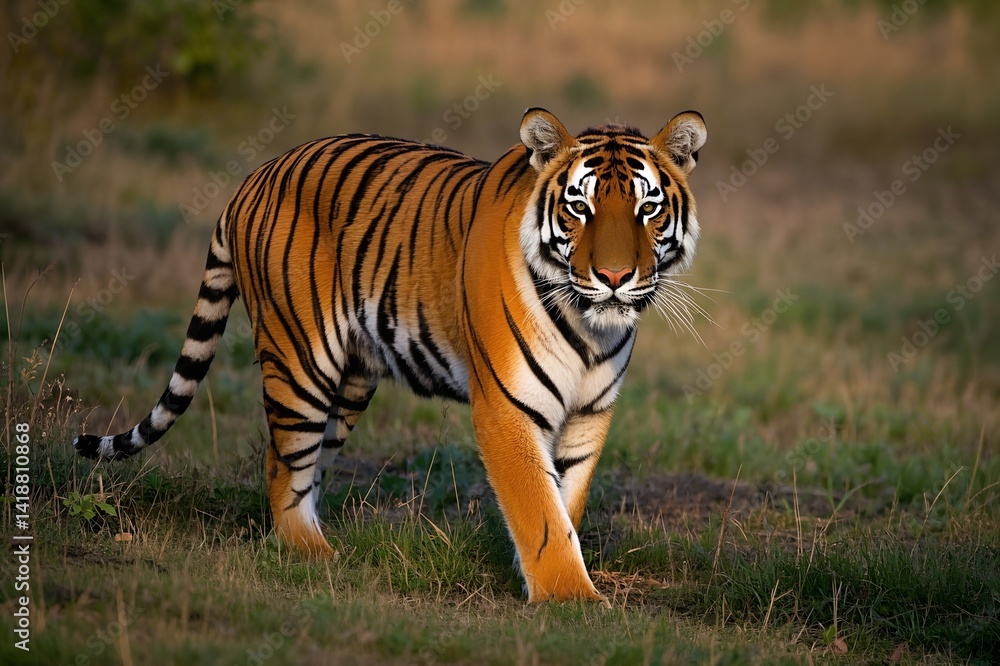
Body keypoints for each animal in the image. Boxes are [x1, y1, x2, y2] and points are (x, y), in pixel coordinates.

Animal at [74, 107, 707, 602]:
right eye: (580, 208)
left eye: (648, 209)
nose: (615, 277)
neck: (590, 328)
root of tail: (254, 176)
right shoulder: (507, 409)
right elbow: (540, 508)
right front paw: (571, 598)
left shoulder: (589, 415)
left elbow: (565, 502)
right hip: (301, 362)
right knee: (282, 466)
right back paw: (318, 558)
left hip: (351, 380)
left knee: (307, 467)